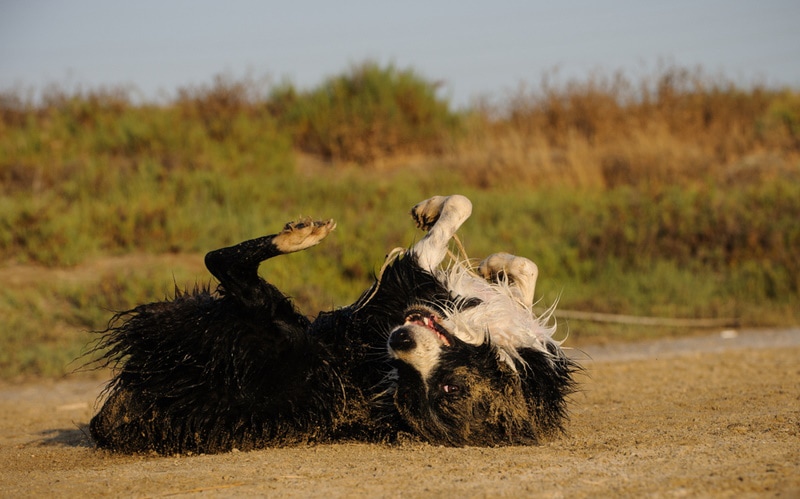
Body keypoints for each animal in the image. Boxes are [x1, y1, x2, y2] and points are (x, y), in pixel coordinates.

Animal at [87, 195, 580, 454]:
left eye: (450, 389)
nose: (398, 339)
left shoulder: (407, 281)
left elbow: (460, 215)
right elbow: (515, 264)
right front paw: (492, 260)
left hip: (262, 314)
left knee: (224, 263)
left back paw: (299, 235)